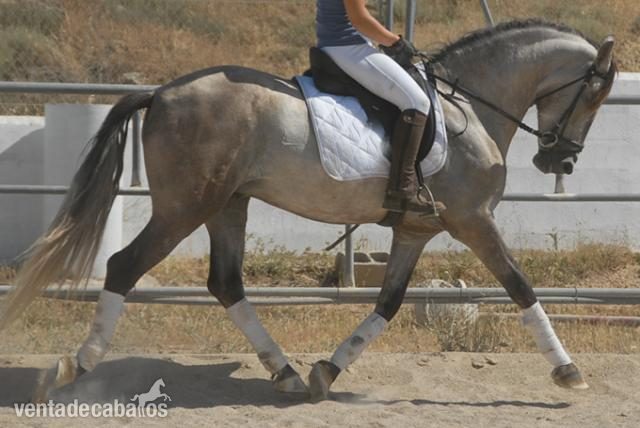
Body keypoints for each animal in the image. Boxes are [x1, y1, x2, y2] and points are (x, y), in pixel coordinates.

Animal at [0, 20, 616, 403]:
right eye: (594, 95)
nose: (559, 158)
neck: (468, 106)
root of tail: (162, 92)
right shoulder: (472, 220)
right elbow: (520, 286)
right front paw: (568, 371)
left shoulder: (416, 230)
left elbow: (388, 304)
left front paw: (328, 370)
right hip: (185, 207)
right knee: (125, 266)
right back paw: (74, 367)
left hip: (228, 205)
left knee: (225, 282)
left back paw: (288, 372)